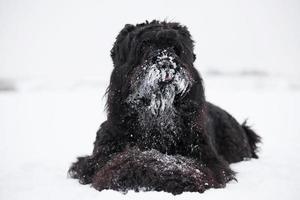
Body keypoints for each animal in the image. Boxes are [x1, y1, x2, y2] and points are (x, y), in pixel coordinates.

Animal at [68, 20, 260, 194]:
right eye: (144, 46)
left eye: (175, 47)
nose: (166, 63)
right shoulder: (96, 159)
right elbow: (128, 159)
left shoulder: (209, 160)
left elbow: (182, 164)